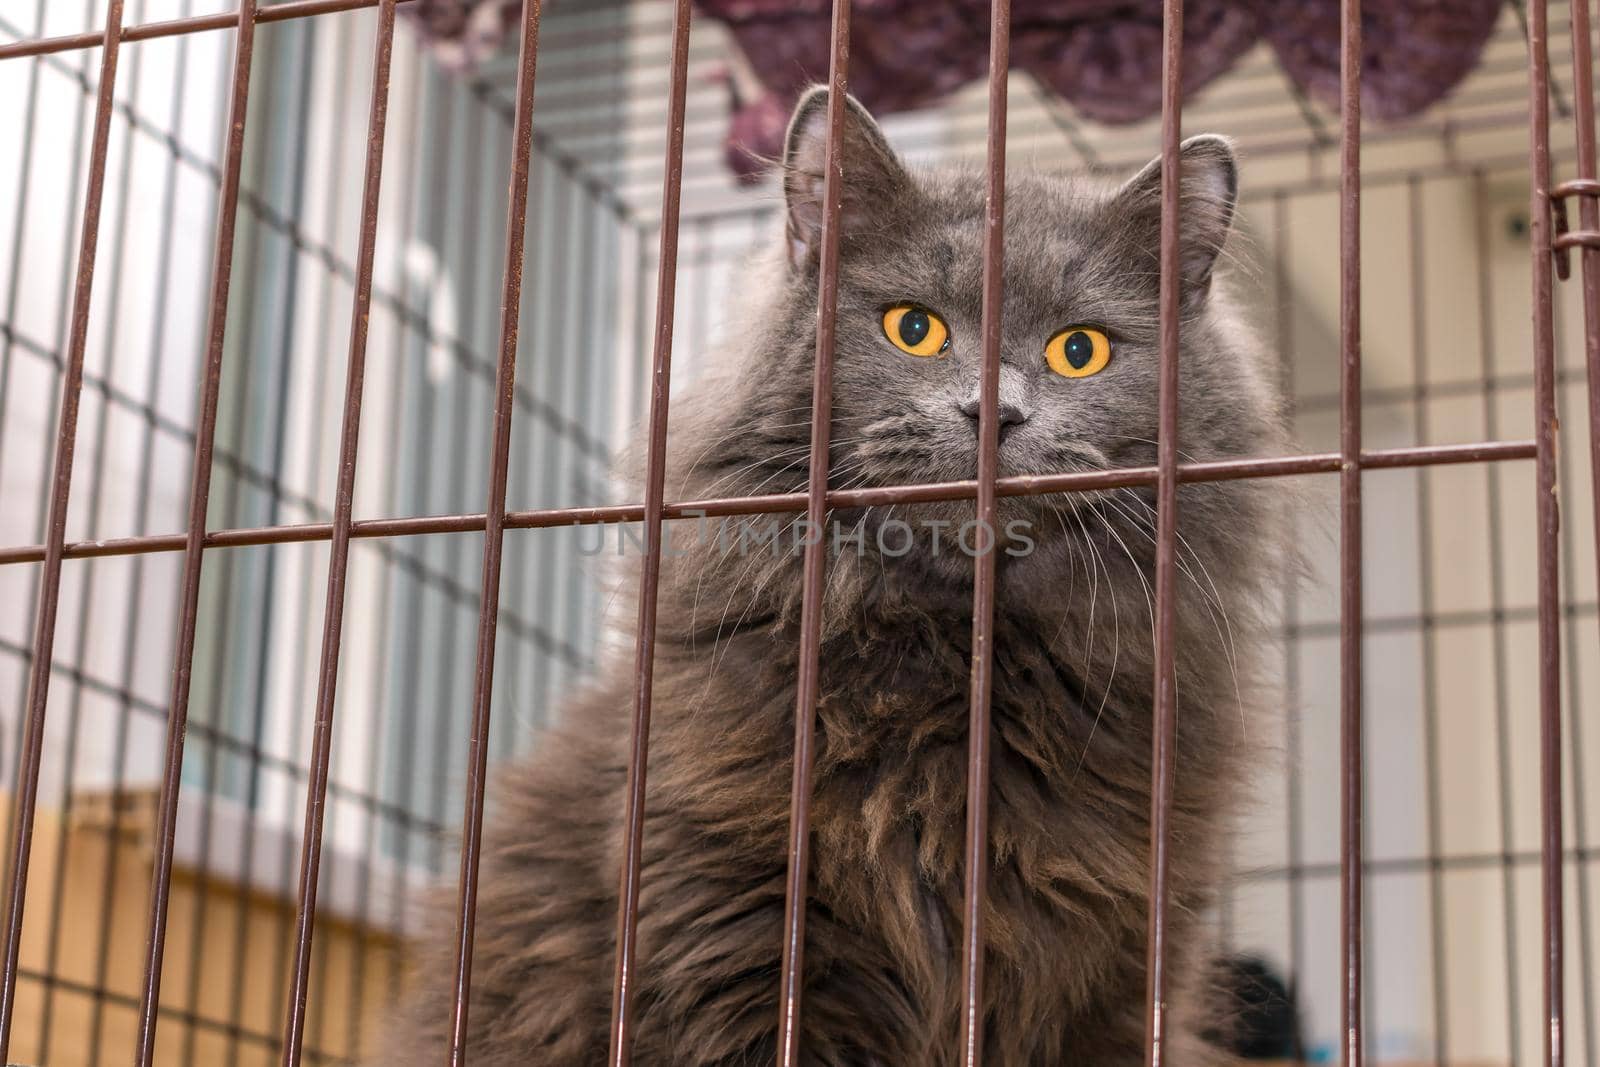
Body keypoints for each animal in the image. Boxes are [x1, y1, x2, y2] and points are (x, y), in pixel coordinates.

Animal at [380, 87, 1292, 1062]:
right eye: (914, 328)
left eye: (1078, 350)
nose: (993, 412)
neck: (959, 670)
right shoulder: (734, 933)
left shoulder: (1127, 975)